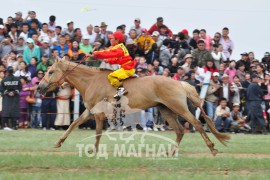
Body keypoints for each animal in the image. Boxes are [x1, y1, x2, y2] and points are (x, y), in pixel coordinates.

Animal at [38, 58, 230, 156]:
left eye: (51, 71)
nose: (39, 87)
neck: (91, 81)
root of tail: (180, 83)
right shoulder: (89, 111)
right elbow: (73, 124)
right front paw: (58, 142)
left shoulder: (98, 114)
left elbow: (98, 132)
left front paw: (94, 150)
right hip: (166, 110)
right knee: (180, 130)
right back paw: (170, 152)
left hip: (179, 108)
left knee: (196, 124)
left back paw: (212, 148)